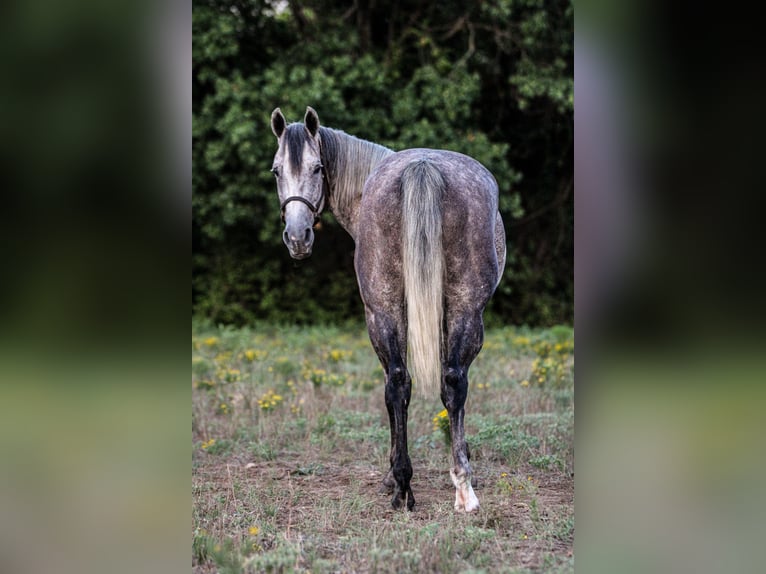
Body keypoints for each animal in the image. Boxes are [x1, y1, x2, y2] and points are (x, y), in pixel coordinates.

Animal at [268, 108, 508, 512]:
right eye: (276, 171)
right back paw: (448, 486)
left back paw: (414, 486)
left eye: (317, 168)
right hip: (454, 310)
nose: (297, 237)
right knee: (438, 381)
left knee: (406, 382)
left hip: (393, 312)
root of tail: (422, 167)